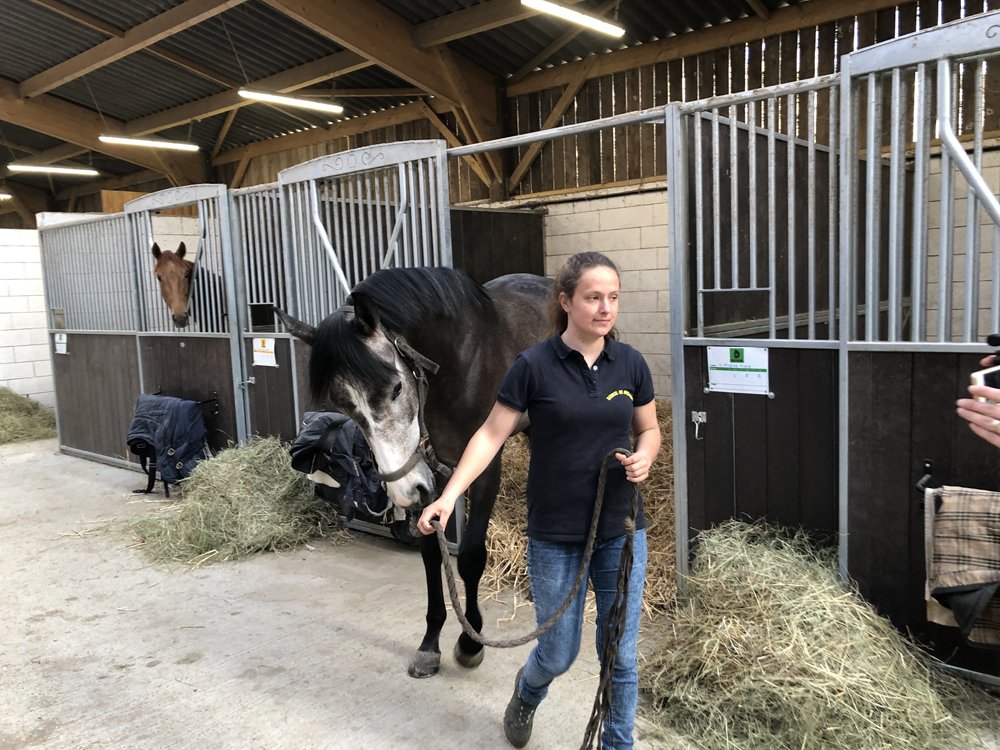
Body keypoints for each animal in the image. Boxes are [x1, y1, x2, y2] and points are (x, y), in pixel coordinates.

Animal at [277, 266, 552, 678]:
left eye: (394, 387)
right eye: (343, 405)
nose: (402, 490)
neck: (460, 363)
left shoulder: (484, 468)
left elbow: (470, 556)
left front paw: (470, 642)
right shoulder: (431, 475)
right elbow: (430, 555)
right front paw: (430, 643)